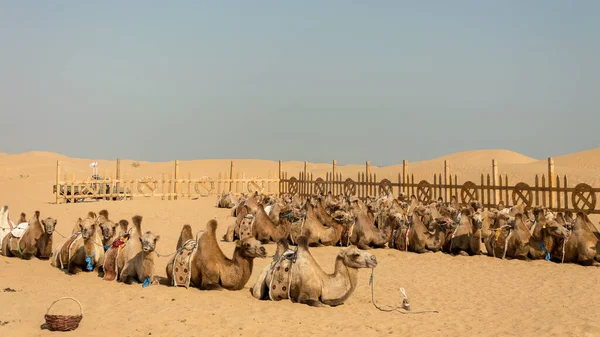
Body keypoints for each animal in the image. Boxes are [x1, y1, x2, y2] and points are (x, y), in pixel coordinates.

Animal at [248, 232, 376, 306]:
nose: (374, 259)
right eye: (356, 254)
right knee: (259, 294)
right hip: (260, 283)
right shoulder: (307, 297)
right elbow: (321, 304)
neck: (324, 282)